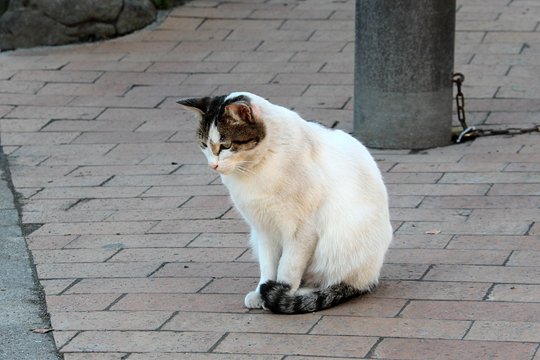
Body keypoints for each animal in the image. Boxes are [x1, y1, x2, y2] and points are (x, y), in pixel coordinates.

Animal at [177, 91, 392, 314]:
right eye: (204, 145)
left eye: (226, 146)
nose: (213, 165)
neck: (255, 169)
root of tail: (373, 276)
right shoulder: (263, 228)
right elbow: (268, 265)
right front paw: (261, 292)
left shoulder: (301, 231)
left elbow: (288, 266)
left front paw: (282, 292)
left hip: (340, 247)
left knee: (337, 282)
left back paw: (301, 294)